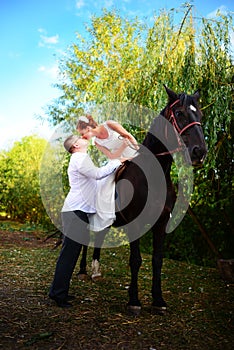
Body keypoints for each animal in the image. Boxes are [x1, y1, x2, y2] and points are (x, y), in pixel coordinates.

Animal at [77, 87, 206, 314]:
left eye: (199, 113)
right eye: (179, 113)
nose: (200, 151)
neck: (154, 176)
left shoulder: (161, 223)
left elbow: (157, 260)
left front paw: (158, 300)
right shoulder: (134, 223)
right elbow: (136, 260)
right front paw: (134, 300)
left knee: (98, 237)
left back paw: (95, 270)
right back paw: (84, 270)